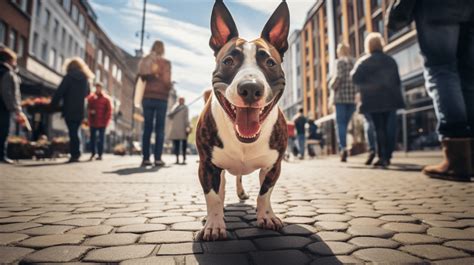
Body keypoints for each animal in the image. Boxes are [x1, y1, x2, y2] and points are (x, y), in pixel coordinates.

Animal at [195, 0, 288, 239]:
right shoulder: (207, 166)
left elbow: (264, 193)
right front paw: (214, 224)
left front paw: (266, 216)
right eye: (228, 61)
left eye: (270, 63)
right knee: (222, 186)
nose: (250, 88)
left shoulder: (273, 166)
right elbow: (213, 197)